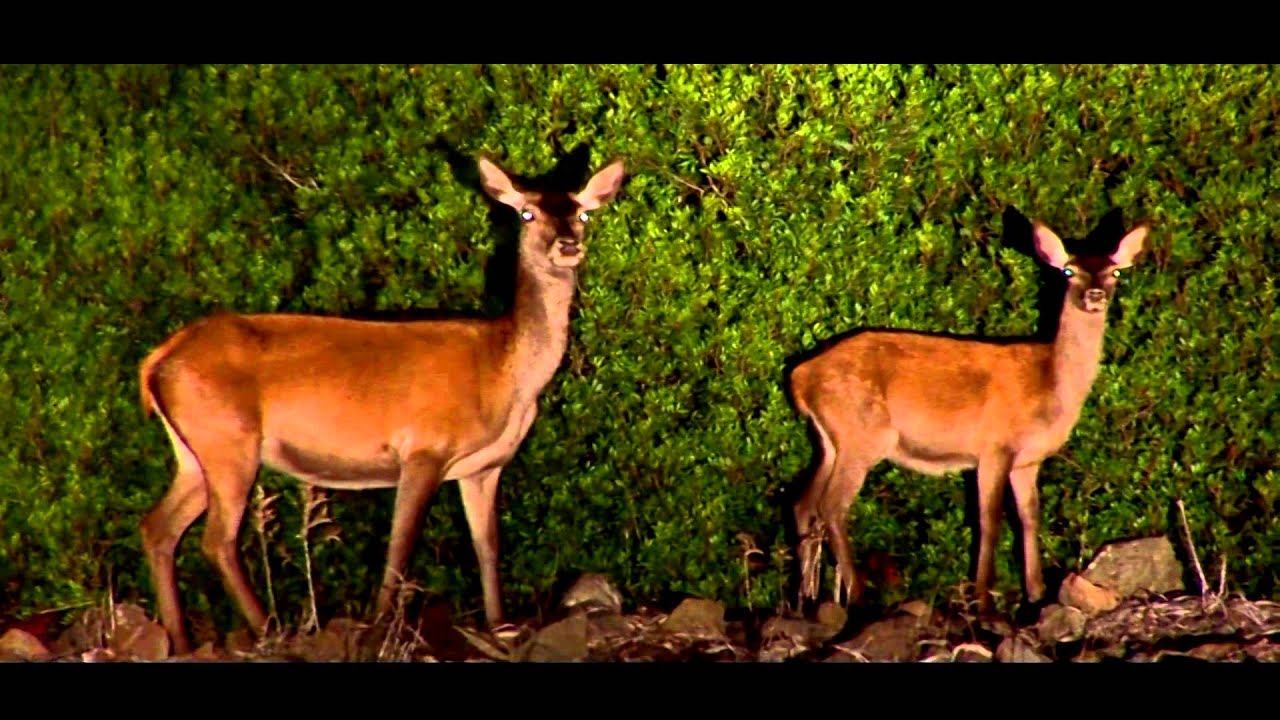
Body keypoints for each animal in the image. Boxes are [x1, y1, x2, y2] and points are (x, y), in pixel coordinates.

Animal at [136, 154, 626, 655]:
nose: (568, 244)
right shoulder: (425, 448)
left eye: (583, 214)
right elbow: (400, 545)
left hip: (195, 451)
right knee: (217, 539)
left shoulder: (485, 466)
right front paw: (378, 626)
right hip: (229, 439)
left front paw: (499, 625)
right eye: (527, 213)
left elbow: (488, 545)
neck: (504, 373)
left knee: (158, 527)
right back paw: (271, 630)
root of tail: (158, 359)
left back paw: (180, 640)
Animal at [788, 218, 1148, 616]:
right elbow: (989, 520)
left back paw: (804, 598)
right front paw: (983, 600)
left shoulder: (1028, 461)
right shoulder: (994, 446)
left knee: (804, 504)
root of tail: (800, 375)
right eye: (1069, 271)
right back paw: (857, 597)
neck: (1050, 385)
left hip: (830, 442)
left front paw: (1036, 593)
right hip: (863, 433)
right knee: (832, 506)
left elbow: (1029, 517)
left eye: (1115, 271)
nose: (1095, 295)